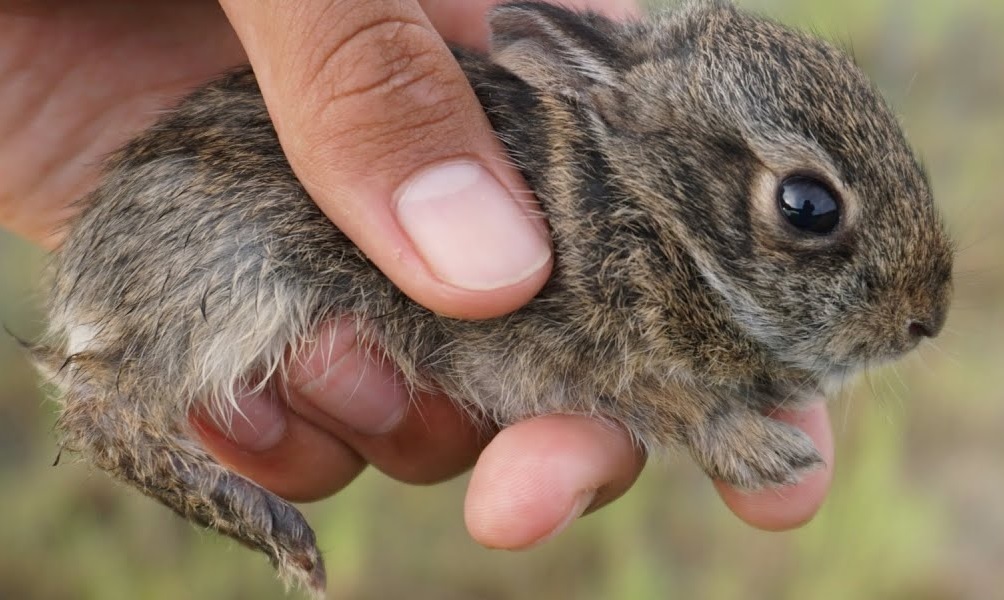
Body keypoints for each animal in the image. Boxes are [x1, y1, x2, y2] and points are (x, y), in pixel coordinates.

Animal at [29, 0, 947, 597]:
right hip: (233, 275)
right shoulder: (598, 359)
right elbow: (678, 405)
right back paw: (279, 530)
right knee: (105, 413)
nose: (926, 320)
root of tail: (82, 270)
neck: (654, 211)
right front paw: (769, 454)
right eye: (808, 205)